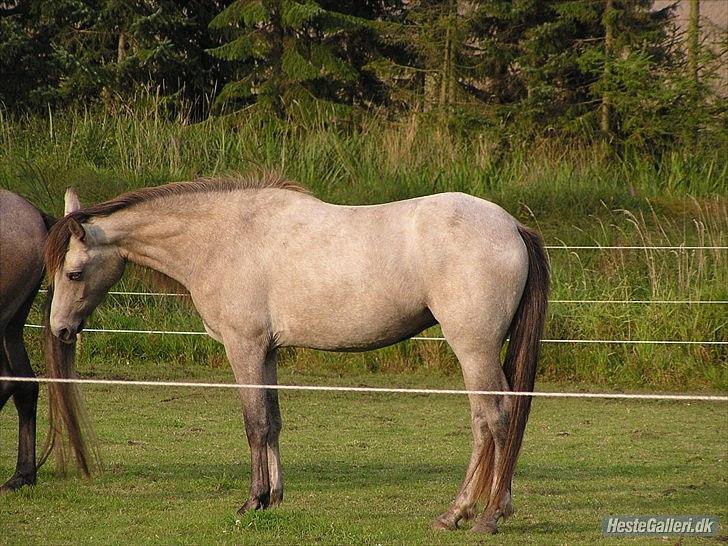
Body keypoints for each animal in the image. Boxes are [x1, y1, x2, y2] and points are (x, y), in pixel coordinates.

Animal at [44, 175, 544, 532]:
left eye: (73, 273)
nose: (60, 329)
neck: (223, 237)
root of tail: (511, 226)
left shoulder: (244, 347)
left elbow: (254, 423)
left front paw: (251, 501)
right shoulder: (266, 351)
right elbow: (273, 421)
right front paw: (273, 498)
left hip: (473, 349)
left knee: (496, 419)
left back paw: (486, 516)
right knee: (487, 421)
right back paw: (459, 513)